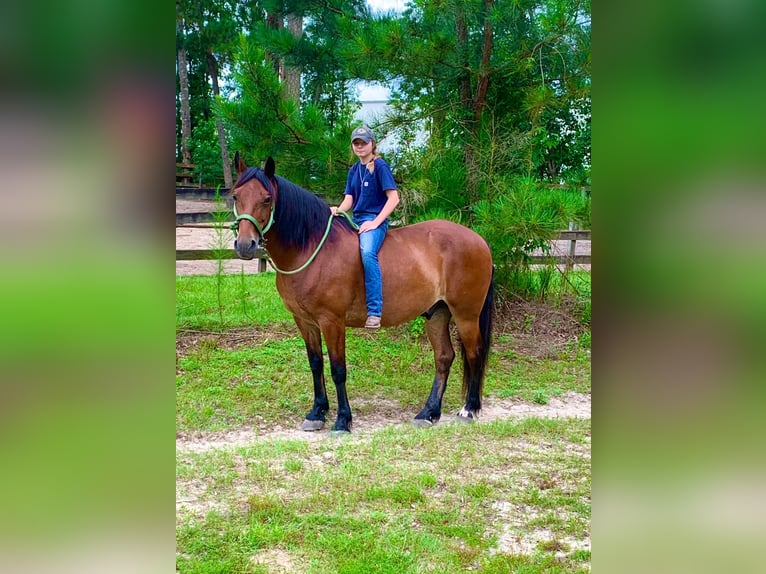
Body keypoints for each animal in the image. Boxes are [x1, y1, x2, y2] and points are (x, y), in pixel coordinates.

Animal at [231, 155, 496, 434]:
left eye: (266, 199)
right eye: (236, 195)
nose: (245, 245)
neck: (313, 249)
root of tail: (480, 241)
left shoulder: (332, 321)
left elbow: (338, 369)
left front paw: (342, 420)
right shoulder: (304, 321)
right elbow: (316, 364)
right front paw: (317, 412)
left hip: (466, 315)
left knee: (475, 353)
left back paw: (469, 409)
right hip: (437, 314)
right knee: (444, 357)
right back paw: (429, 412)